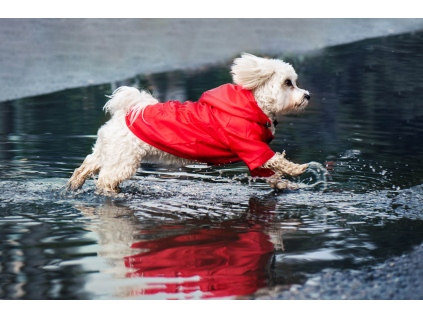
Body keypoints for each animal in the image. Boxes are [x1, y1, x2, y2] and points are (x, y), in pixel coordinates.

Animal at [67, 53, 312, 193]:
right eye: (288, 83)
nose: (307, 95)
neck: (254, 105)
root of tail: (126, 112)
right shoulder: (250, 147)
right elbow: (277, 161)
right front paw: (298, 169)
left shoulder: (254, 155)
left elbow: (271, 172)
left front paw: (285, 185)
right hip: (122, 161)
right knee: (105, 180)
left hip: (109, 152)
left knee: (87, 164)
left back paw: (73, 184)